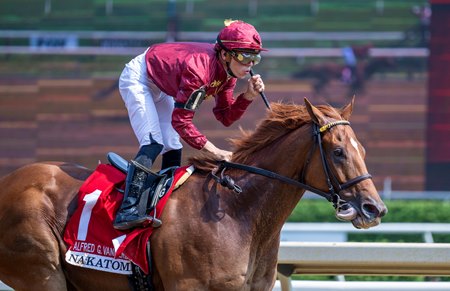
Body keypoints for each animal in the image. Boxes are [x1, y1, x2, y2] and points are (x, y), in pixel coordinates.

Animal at [0, 99, 386, 290]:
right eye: (339, 152)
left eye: (364, 149)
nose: (374, 208)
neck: (240, 211)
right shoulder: (188, 286)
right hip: (42, 273)